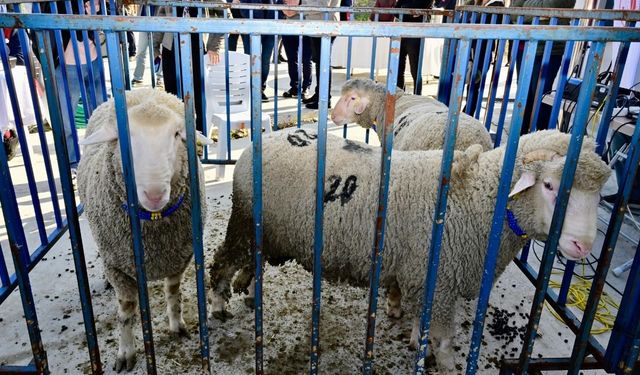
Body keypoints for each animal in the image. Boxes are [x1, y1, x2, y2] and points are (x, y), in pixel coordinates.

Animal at [77, 87, 212, 374]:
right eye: (125, 138)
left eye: (176, 134)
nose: (154, 194)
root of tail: (140, 88)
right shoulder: (118, 267)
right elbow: (126, 311)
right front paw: (126, 352)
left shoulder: (178, 258)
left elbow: (173, 293)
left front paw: (177, 326)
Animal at [209, 128, 608, 372]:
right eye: (550, 185)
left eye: (598, 195)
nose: (583, 245)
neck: (479, 200)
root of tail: (260, 142)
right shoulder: (440, 281)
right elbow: (444, 342)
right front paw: (444, 365)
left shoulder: (422, 276)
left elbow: (419, 318)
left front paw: (414, 334)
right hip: (244, 220)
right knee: (222, 262)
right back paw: (218, 305)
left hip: (267, 231)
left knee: (253, 261)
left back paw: (249, 291)